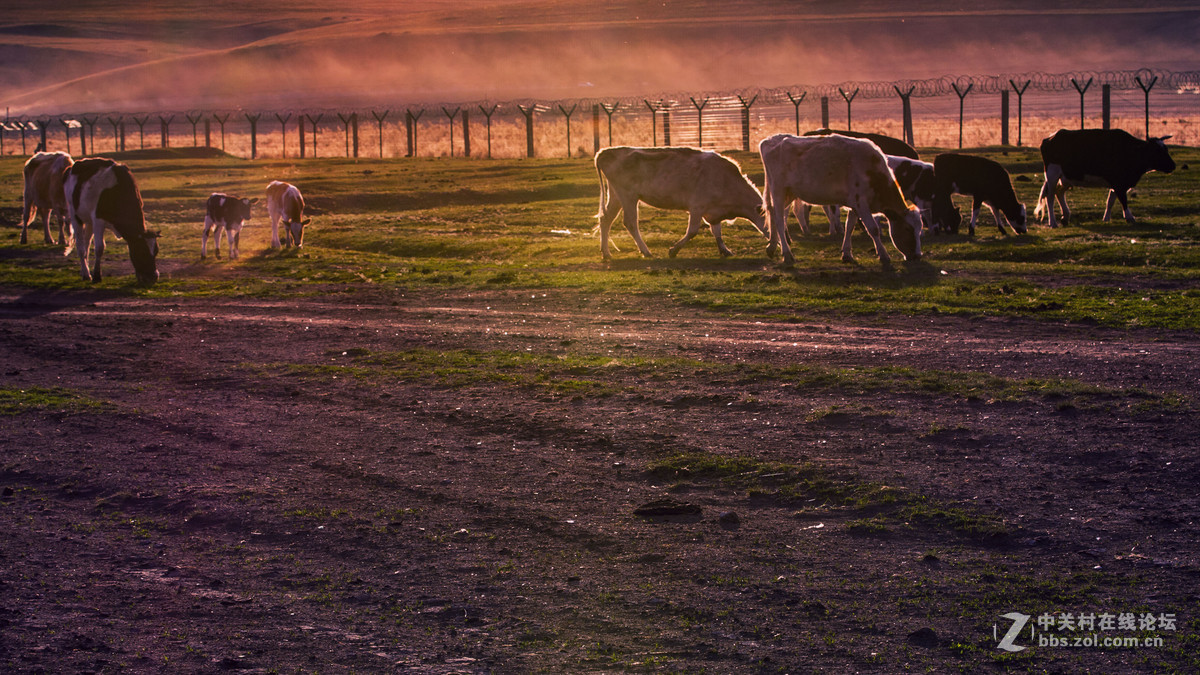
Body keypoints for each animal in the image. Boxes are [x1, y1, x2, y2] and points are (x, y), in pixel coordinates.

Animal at [592, 145, 768, 258]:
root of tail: (606, 152)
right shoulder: (697, 206)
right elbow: (692, 231)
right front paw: (674, 250)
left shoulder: (713, 211)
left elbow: (717, 232)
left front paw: (725, 250)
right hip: (628, 196)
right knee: (630, 222)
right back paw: (646, 251)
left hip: (616, 196)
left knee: (605, 219)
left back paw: (606, 253)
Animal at [763, 132, 921, 265]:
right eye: (908, 228)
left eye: (920, 230)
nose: (917, 256)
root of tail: (770, 139)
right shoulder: (861, 202)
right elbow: (873, 229)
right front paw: (883, 255)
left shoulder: (854, 204)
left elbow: (849, 226)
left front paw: (847, 254)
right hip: (778, 190)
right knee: (779, 219)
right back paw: (787, 254)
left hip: (788, 193)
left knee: (772, 214)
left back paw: (772, 247)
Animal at [1036, 127, 1176, 227]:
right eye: (1157, 151)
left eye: (1166, 149)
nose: (1173, 165)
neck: (1131, 151)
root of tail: (1050, 138)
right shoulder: (1119, 184)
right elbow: (1123, 200)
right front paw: (1130, 217)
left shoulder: (1117, 184)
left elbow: (1110, 201)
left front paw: (1106, 219)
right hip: (1052, 174)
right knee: (1050, 197)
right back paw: (1053, 223)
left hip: (1066, 179)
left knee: (1059, 193)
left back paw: (1065, 217)